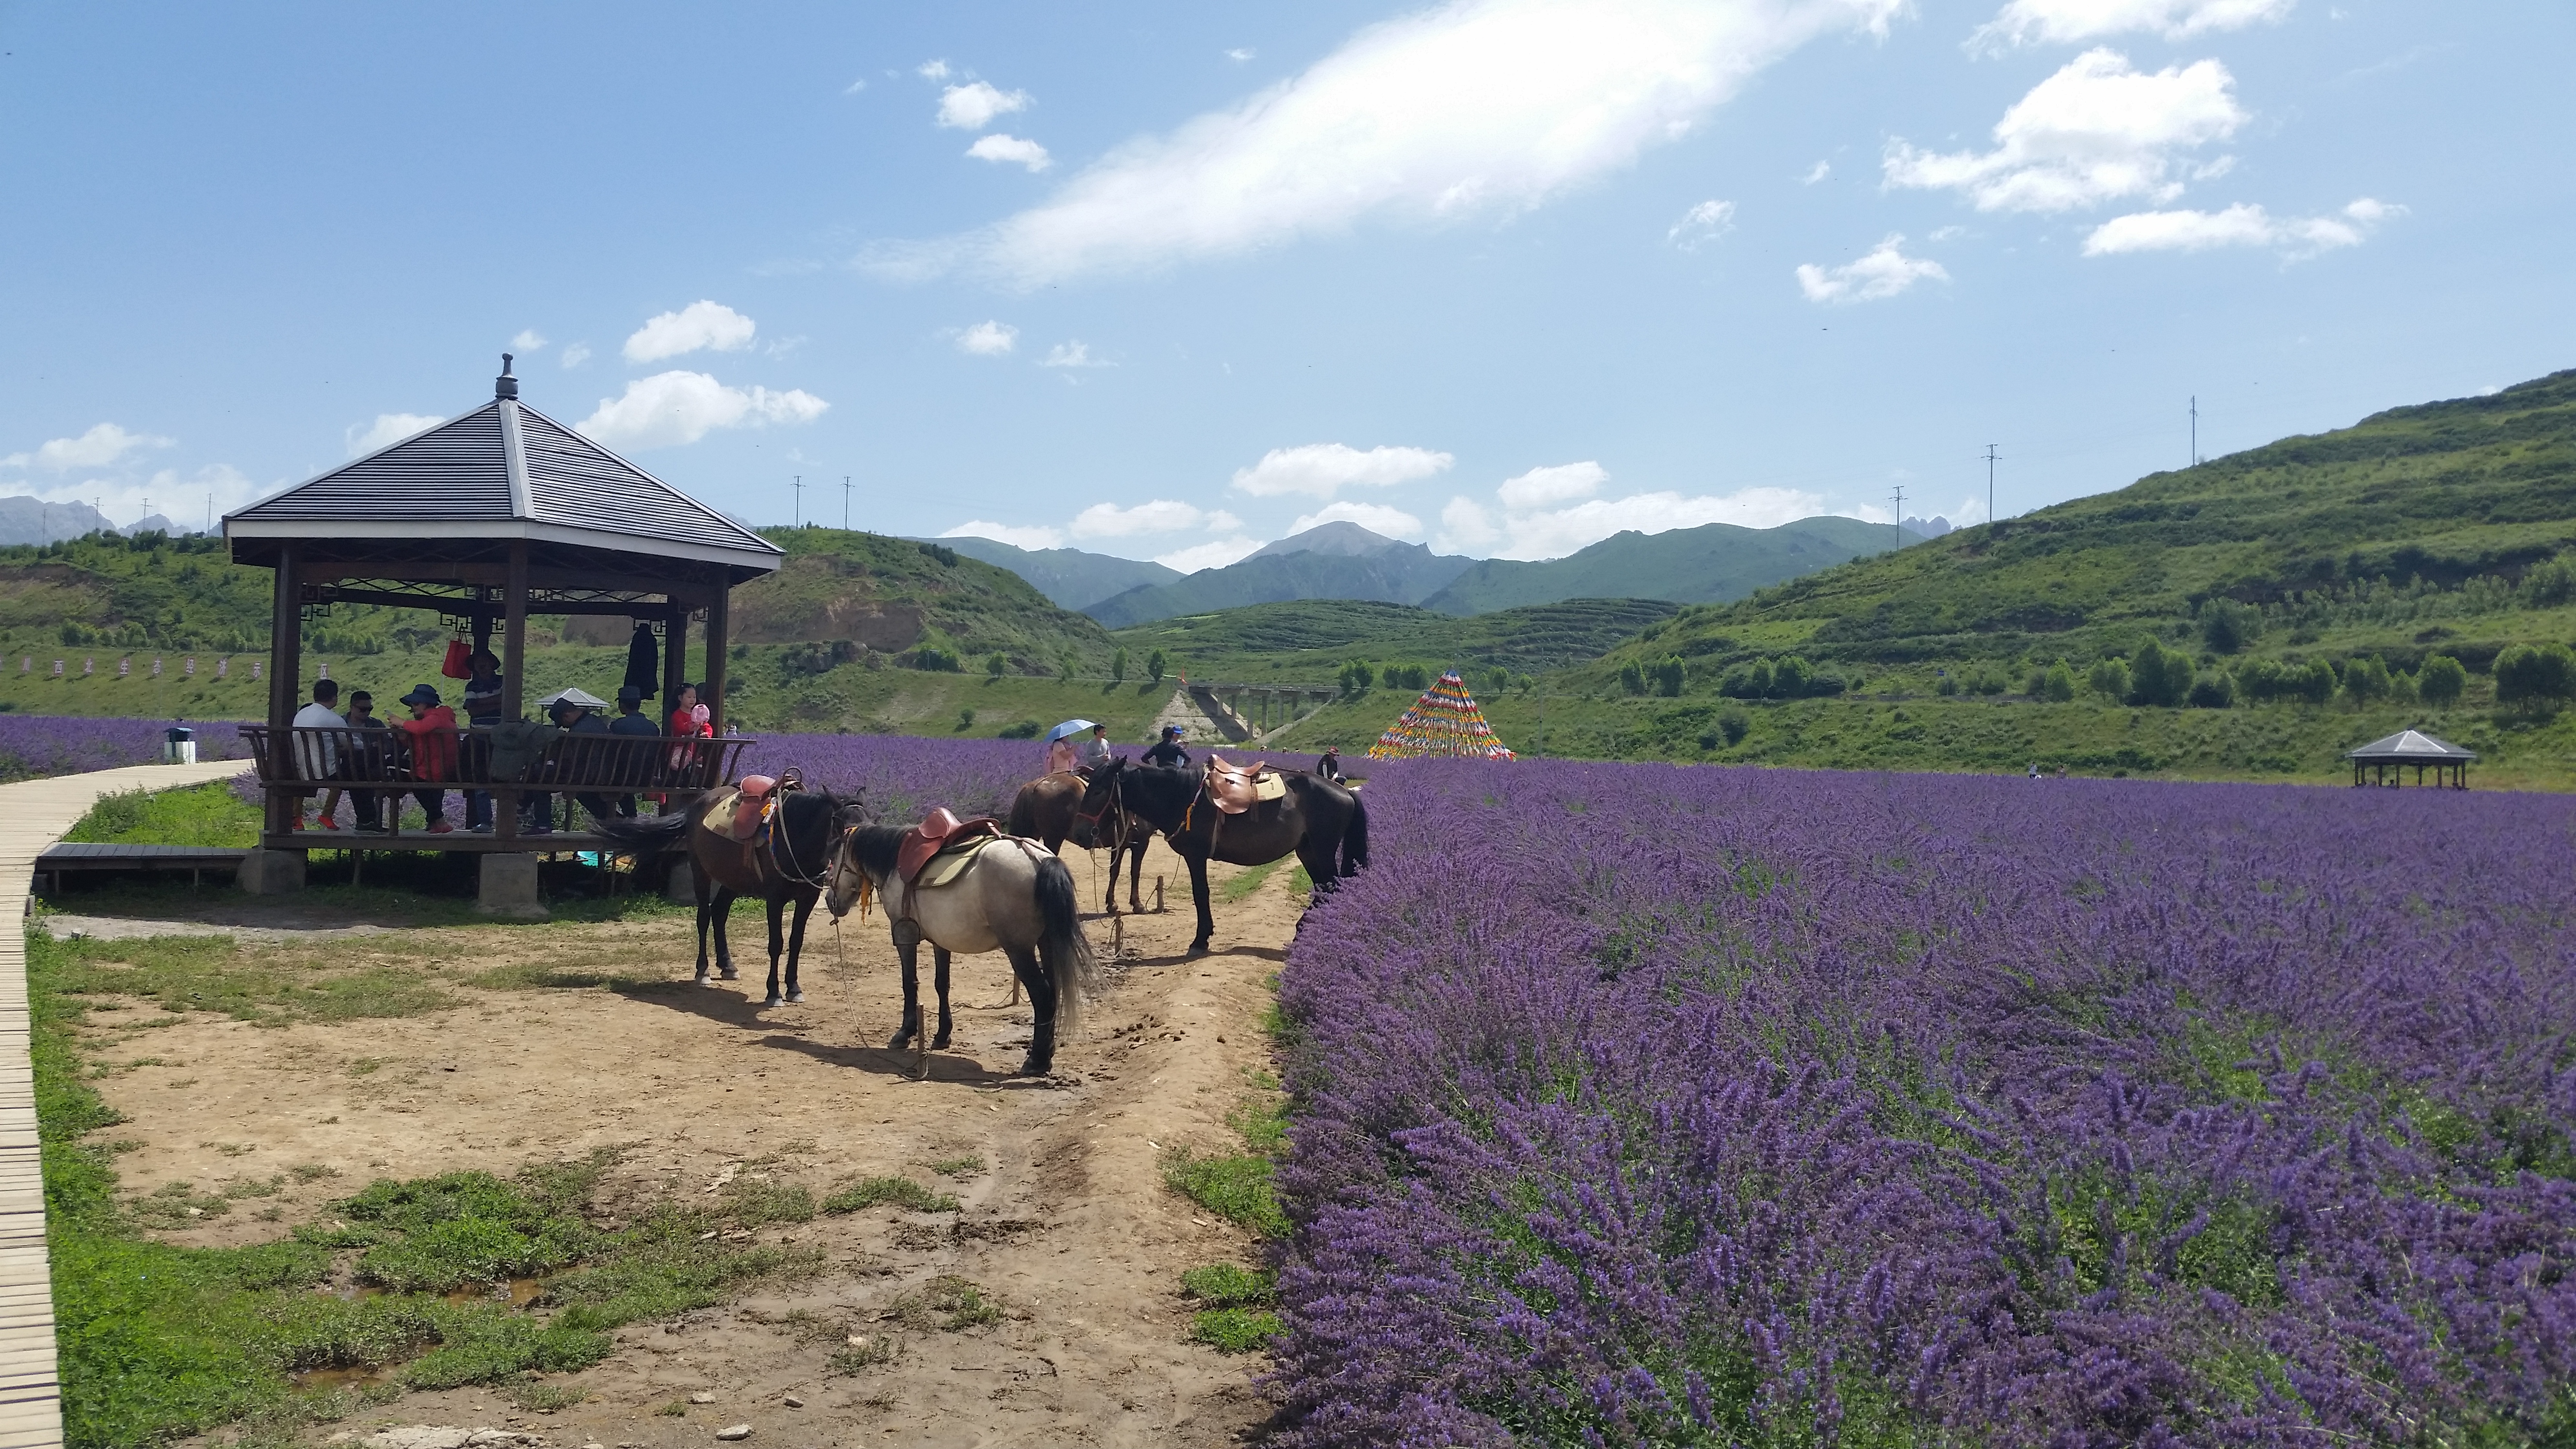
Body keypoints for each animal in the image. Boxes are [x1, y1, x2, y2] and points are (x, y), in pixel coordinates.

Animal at [835, 815, 1097, 1072]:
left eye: (833, 860)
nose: (831, 901)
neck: (896, 863)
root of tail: (1040, 860)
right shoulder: (941, 940)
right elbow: (942, 984)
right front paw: (943, 1035)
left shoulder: (904, 935)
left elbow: (909, 983)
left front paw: (905, 1033)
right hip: (1047, 944)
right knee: (1054, 991)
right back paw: (1047, 1053)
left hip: (1019, 950)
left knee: (1042, 994)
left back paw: (1036, 1061)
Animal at [1077, 747, 1370, 954]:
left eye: (1099, 790)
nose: (1082, 831)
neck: (1182, 797)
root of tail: (1345, 792)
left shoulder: (1196, 856)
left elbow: (1201, 894)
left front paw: (1200, 939)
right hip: (1307, 852)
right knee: (1324, 889)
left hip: (1321, 851)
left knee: (1331, 887)